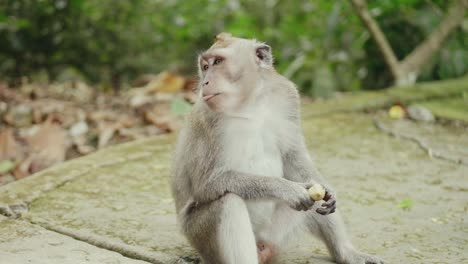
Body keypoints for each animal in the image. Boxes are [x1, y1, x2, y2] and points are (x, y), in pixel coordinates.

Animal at [172, 33, 384, 264]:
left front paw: (327, 190)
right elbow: (208, 183)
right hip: (200, 236)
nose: (205, 82)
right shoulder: (207, 120)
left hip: (272, 235)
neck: (249, 105)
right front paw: (286, 189)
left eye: (218, 62)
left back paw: (346, 253)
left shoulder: (287, 97)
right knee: (227, 202)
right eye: (205, 66)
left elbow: (294, 156)